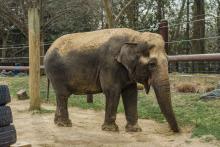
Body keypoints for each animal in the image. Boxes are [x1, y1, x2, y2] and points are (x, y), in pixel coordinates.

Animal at [43, 28, 180, 133]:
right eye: (152, 64)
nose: (175, 131)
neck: (135, 37)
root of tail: (48, 49)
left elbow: (131, 92)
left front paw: (135, 130)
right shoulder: (110, 64)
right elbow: (112, 90)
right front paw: (111, 130)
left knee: (60, 96)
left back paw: (57, 122)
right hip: (56, 72)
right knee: (63, 95)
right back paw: (65, 124)